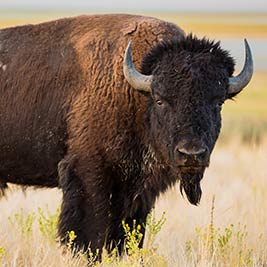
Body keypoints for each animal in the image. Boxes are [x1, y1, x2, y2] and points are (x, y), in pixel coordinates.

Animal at [0, 14, 254, 260]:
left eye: (218, 102)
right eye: (160, 100)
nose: (191, 154)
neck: (136, 95)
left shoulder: (138, 190)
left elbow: (125, 236)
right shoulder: (88, 174)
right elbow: (88, 236)